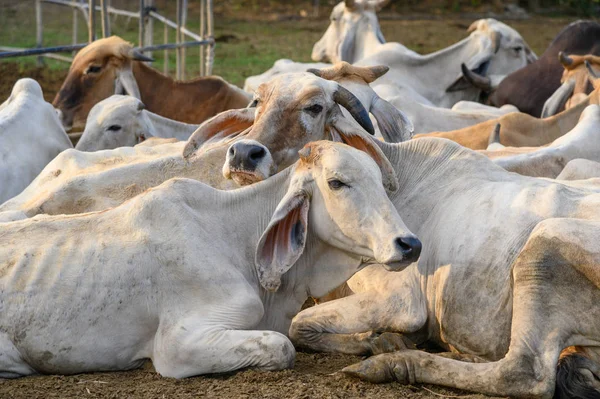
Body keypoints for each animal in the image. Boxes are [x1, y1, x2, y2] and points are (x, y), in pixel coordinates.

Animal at [0, 140, 422, 378]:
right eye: (337, 182)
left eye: (380, 182)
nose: (410, 244)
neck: (234, 236)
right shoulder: (178, 345)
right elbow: (282, 346)